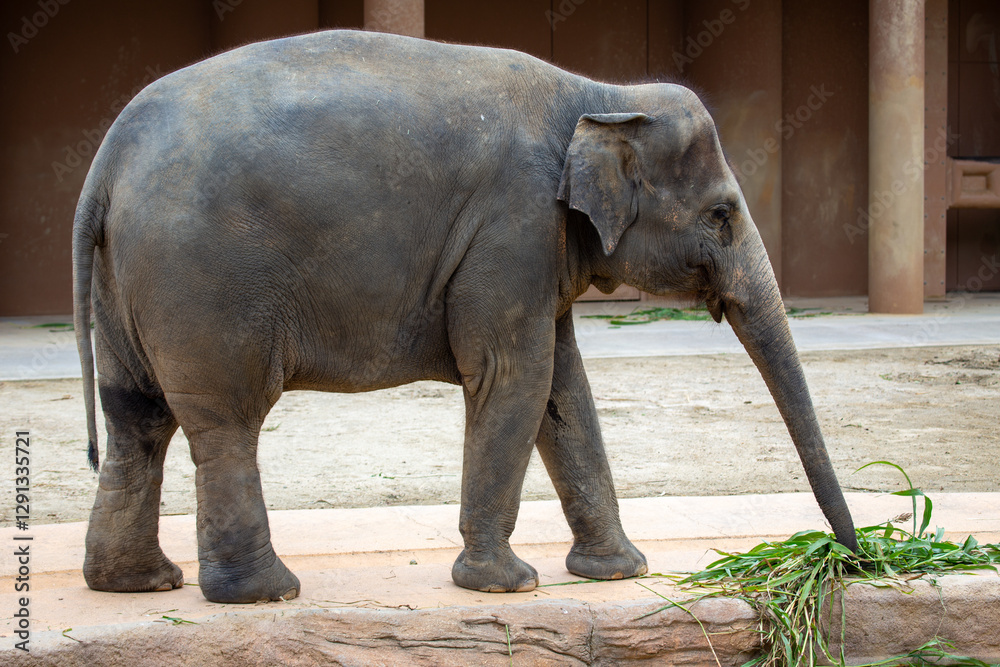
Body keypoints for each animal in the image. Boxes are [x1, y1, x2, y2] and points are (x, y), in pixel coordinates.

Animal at [73, 29, 857, 604]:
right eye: (722, 215)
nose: (852, 558)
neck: (601, 95)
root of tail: (107, 161)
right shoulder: (513, 225)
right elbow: (517, 375)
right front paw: (506, 585)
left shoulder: (534, 245)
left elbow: (562, 386)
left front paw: (620, 571)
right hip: (204, 280)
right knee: (224, 422)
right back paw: (264, 594)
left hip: (126, 283)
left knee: (136, 419)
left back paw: (137, 583)